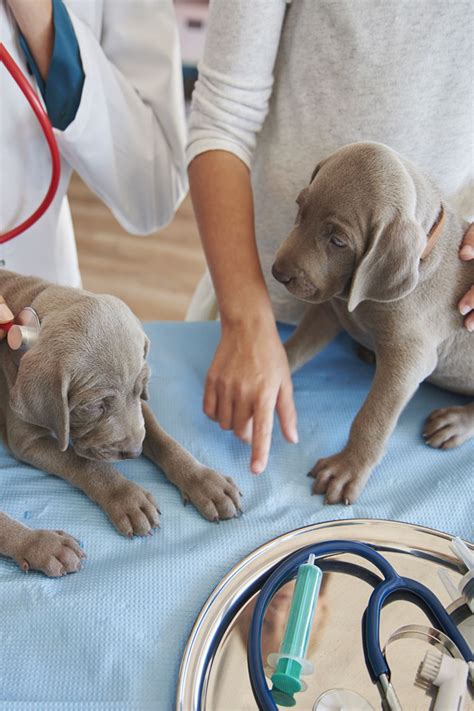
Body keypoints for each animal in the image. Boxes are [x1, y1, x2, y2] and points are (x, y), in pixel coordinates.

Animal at [0, 270, 243, 576]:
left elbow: (162, 439)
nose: (134, 453)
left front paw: (205, 481)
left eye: (141, 389)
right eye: (94, 406)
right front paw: (127, 498)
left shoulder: (140, 410)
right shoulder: (27, 441)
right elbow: (85, 464)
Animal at [272, 140, 472, 506]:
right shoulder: (330, 309)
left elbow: (373, 417)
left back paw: (455, 422)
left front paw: (347, 468)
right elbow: (294, 348)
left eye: (338, 241)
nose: (278, 273)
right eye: (300, 207)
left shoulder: (409, 358)